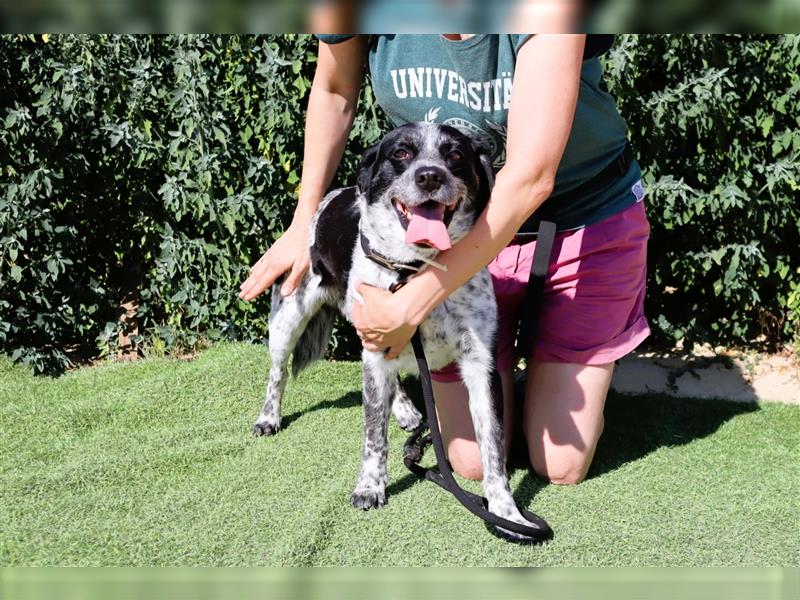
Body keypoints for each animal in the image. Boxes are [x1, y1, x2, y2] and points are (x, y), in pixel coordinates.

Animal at [253, 122, 536, 540]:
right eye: (401, 153)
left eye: (455, 155)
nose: (430, 176)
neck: (416, 268)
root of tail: (330, 198)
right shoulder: (373, 349)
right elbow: (373, 433)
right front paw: (370, 487)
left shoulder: (479, 365)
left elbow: (492, 447)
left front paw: (506, 511)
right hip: (288, 319)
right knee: (278, 372)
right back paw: (269, 418)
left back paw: (403, 408)